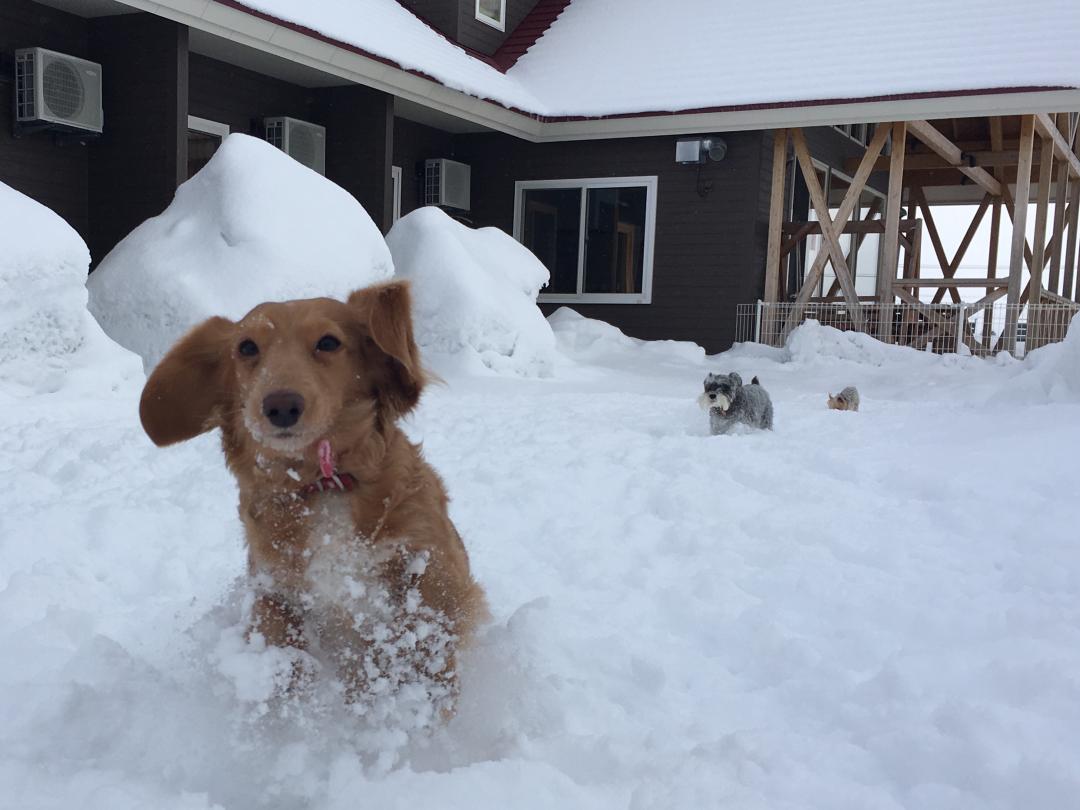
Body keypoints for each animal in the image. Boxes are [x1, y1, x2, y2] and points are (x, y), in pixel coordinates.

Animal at [140, 280, 486, 708]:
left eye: (328, 342)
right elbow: (279, 638)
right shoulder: (274, 585)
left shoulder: (432, 557)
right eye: (247, 347)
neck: (325, 486)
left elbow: (430, 618)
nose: (280, 405)